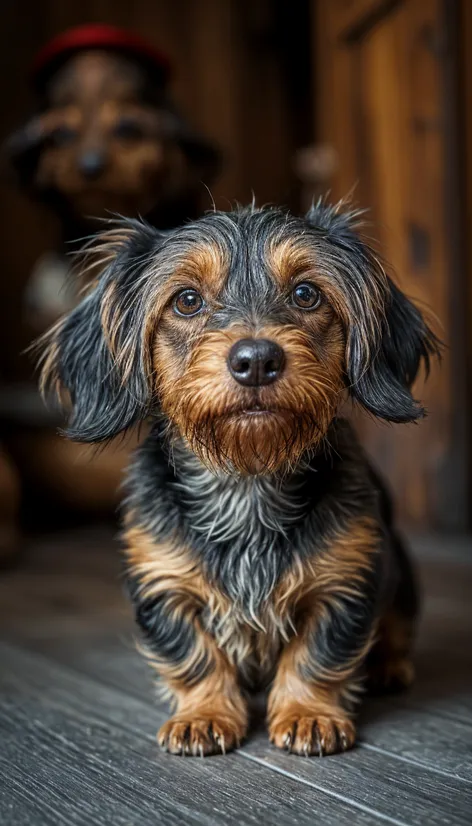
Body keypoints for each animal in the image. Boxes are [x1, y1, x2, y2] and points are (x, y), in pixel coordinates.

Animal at [38, 200, 440, 752]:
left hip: (398, 567)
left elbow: (318, 655)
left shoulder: (346, 579)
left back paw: (389, 667)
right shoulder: (162, 581)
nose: (256, 360)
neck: (247, 478)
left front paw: (307, 714)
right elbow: (193, 655)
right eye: (187, 300)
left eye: (306, 293)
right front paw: (203, 715)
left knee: (397, 627)